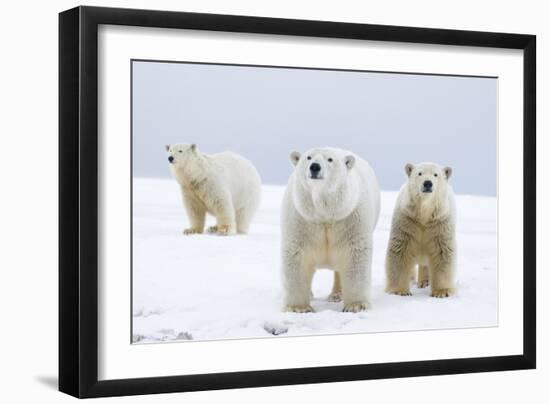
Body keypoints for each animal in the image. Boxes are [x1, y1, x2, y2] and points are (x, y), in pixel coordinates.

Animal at [282, 148, 382, 312]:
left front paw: (355, 305)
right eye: (308, 157)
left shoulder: (350, 217)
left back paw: (336, 295)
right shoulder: (302, 218)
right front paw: (299, 307)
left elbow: (355, 254)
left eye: (330, 159)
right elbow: (297, 255)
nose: (315, 167)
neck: (325, 215)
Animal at [386, 163, 460, 298]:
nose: (427, 183)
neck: (424, 215)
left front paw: (442, 292)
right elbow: (400, 251)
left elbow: (442, 253)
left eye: (436, 174)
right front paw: (399, 291)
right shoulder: (407, 221)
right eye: (419, 173)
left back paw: (425, 282)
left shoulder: (440, 223)